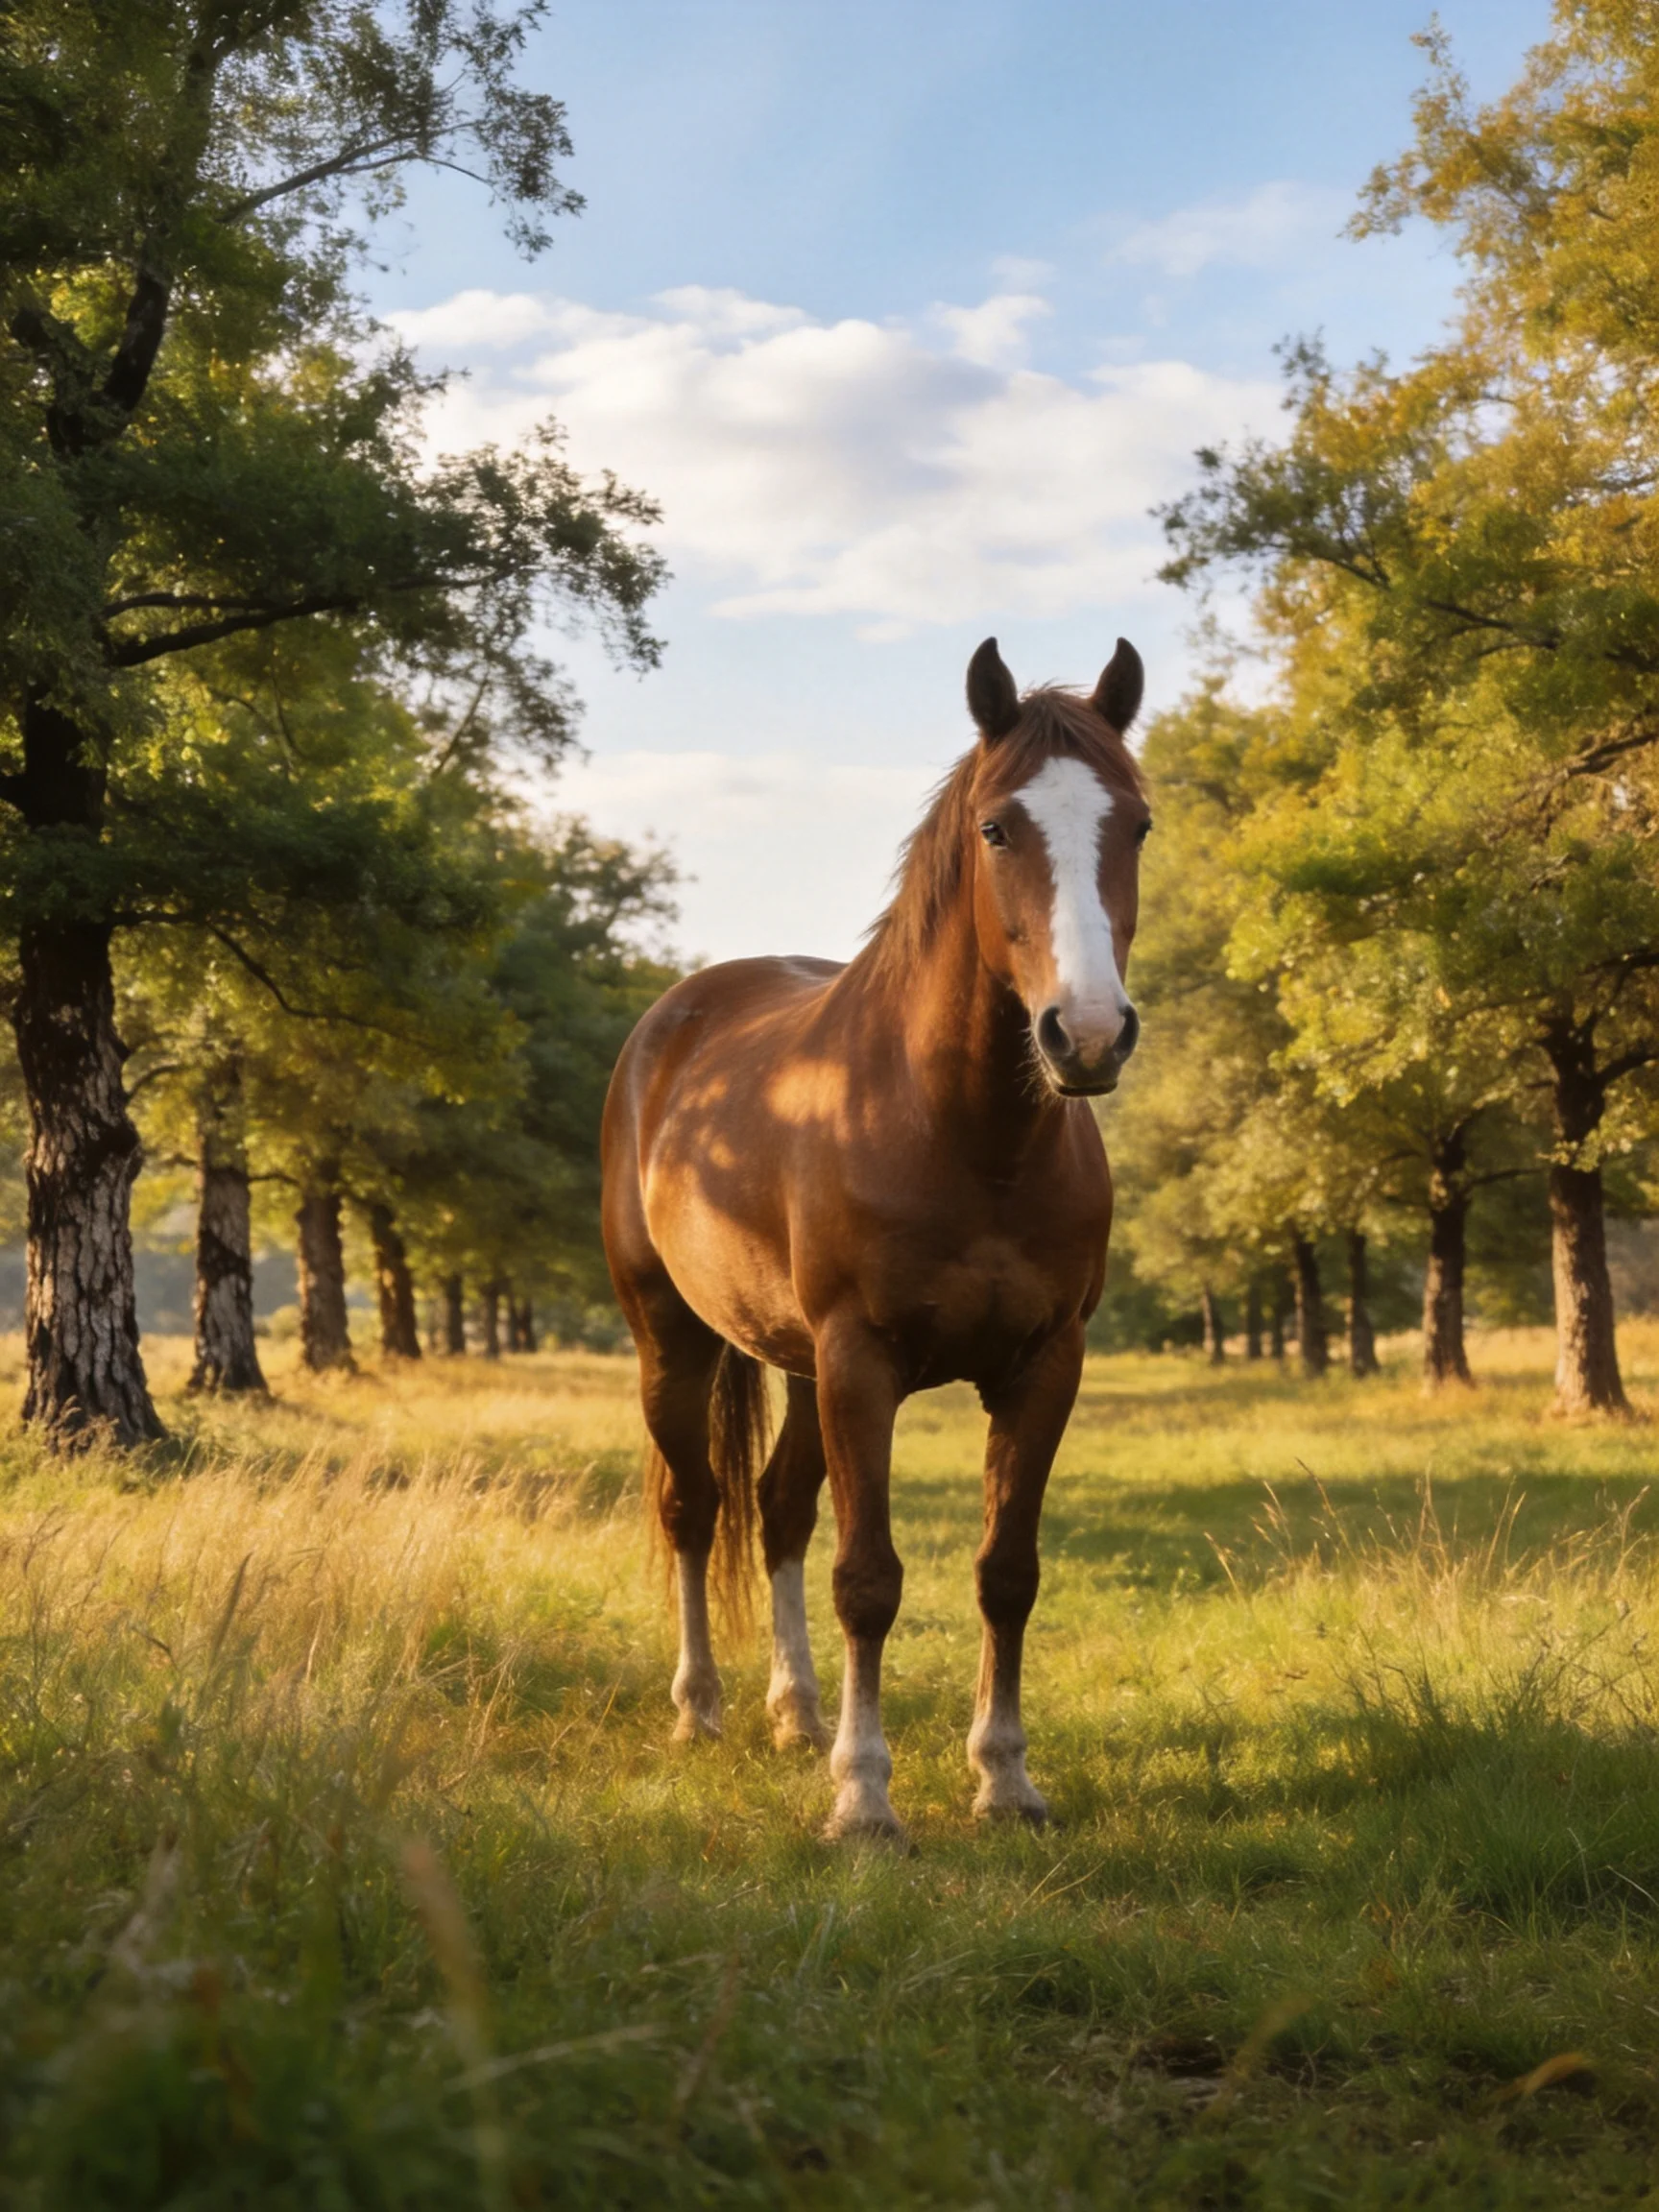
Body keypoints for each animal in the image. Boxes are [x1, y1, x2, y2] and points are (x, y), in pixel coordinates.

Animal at [600, 636, 1149, 1839]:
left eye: (1136, 822)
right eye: (997, 828)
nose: (1087, 1035)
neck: (962, 1133)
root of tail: (673, 1020)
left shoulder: (1044, 1366)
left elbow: (1006, 1571)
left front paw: (1005, 1778)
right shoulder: (863, 1364)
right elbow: (869, 1578)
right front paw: (864, 1801)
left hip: (800, 1368)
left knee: (778, 1511)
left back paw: (797, 1714)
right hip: (675, 1340)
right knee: (694, 1509)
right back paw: (702, 1711)